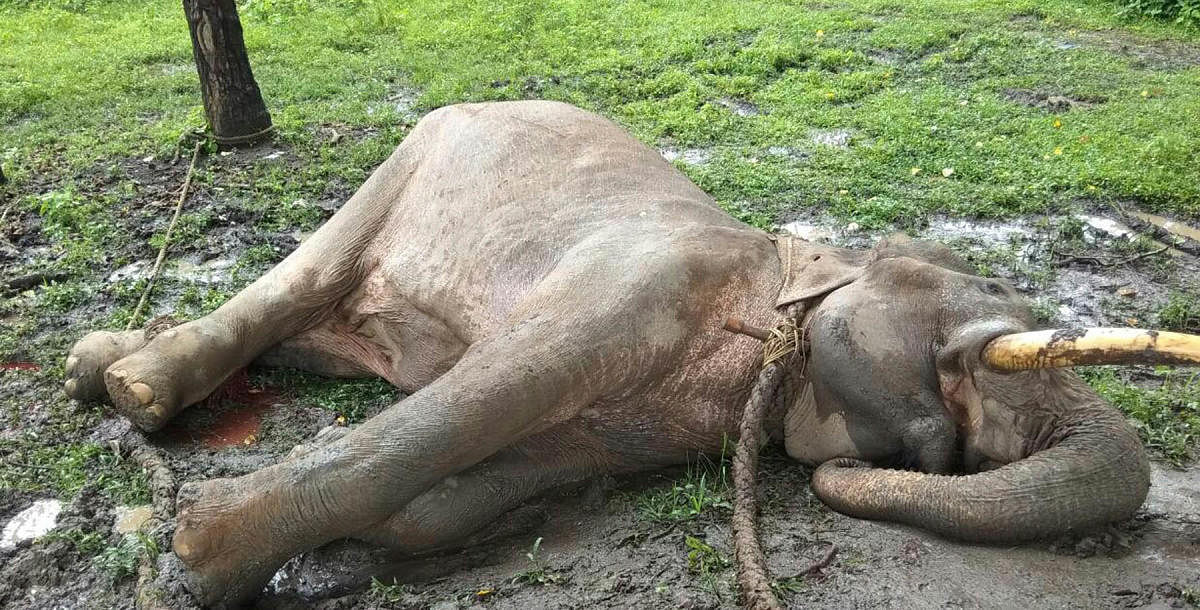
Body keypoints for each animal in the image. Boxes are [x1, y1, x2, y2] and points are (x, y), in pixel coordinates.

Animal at [60, 100, 1195, 605]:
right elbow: (496, 393)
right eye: (989, 325)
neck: (781, 269)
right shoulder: (640, 278)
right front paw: (194, 557)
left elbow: (495, 479)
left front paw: (346, 553)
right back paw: (131, 387)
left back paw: (104, 367)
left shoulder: (643, 429)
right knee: (301, 278)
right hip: (410, 156)